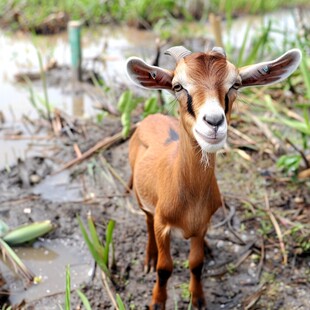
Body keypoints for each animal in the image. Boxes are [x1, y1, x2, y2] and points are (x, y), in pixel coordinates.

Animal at [125, 46, 300, 310]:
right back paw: (149, 257)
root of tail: (151, 118)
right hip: (142, 200)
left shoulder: (202, 224)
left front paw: (198, 299)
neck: (190, 200)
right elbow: (164, 268)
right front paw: (157, 301)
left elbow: (196, 264)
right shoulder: (163, 224)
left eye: (235, 84)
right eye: (178, 86)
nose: (215, 122)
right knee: (147, 221)